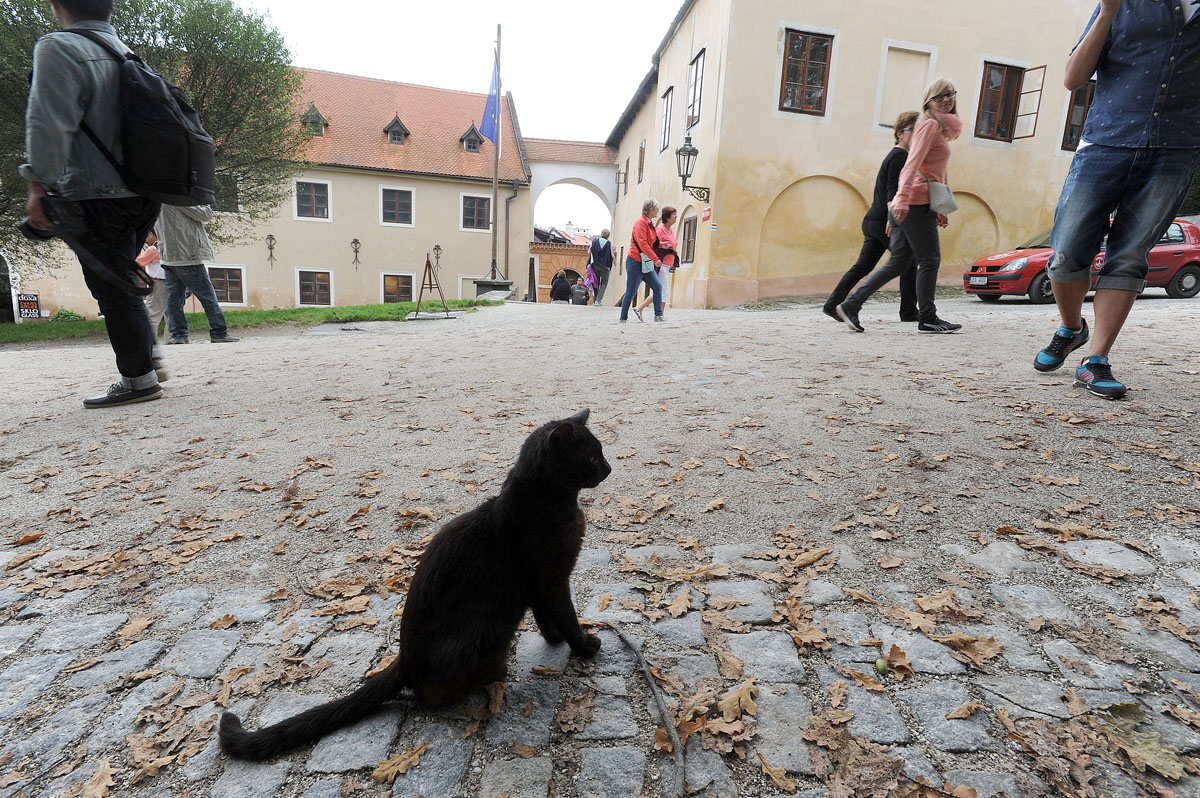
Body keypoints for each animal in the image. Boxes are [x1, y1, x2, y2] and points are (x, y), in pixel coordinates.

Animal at [220, 410, 609, 758]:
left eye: (601, 452)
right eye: (592, 456)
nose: (608, 468)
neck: (551, 503)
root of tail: (404, 658)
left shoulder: (540, 586)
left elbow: (546, 619)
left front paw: (555, 639)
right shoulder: (552, 580)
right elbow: (567, 615)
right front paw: (583, 646)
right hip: (483, 634)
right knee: (430, 697)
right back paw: (492, 676)